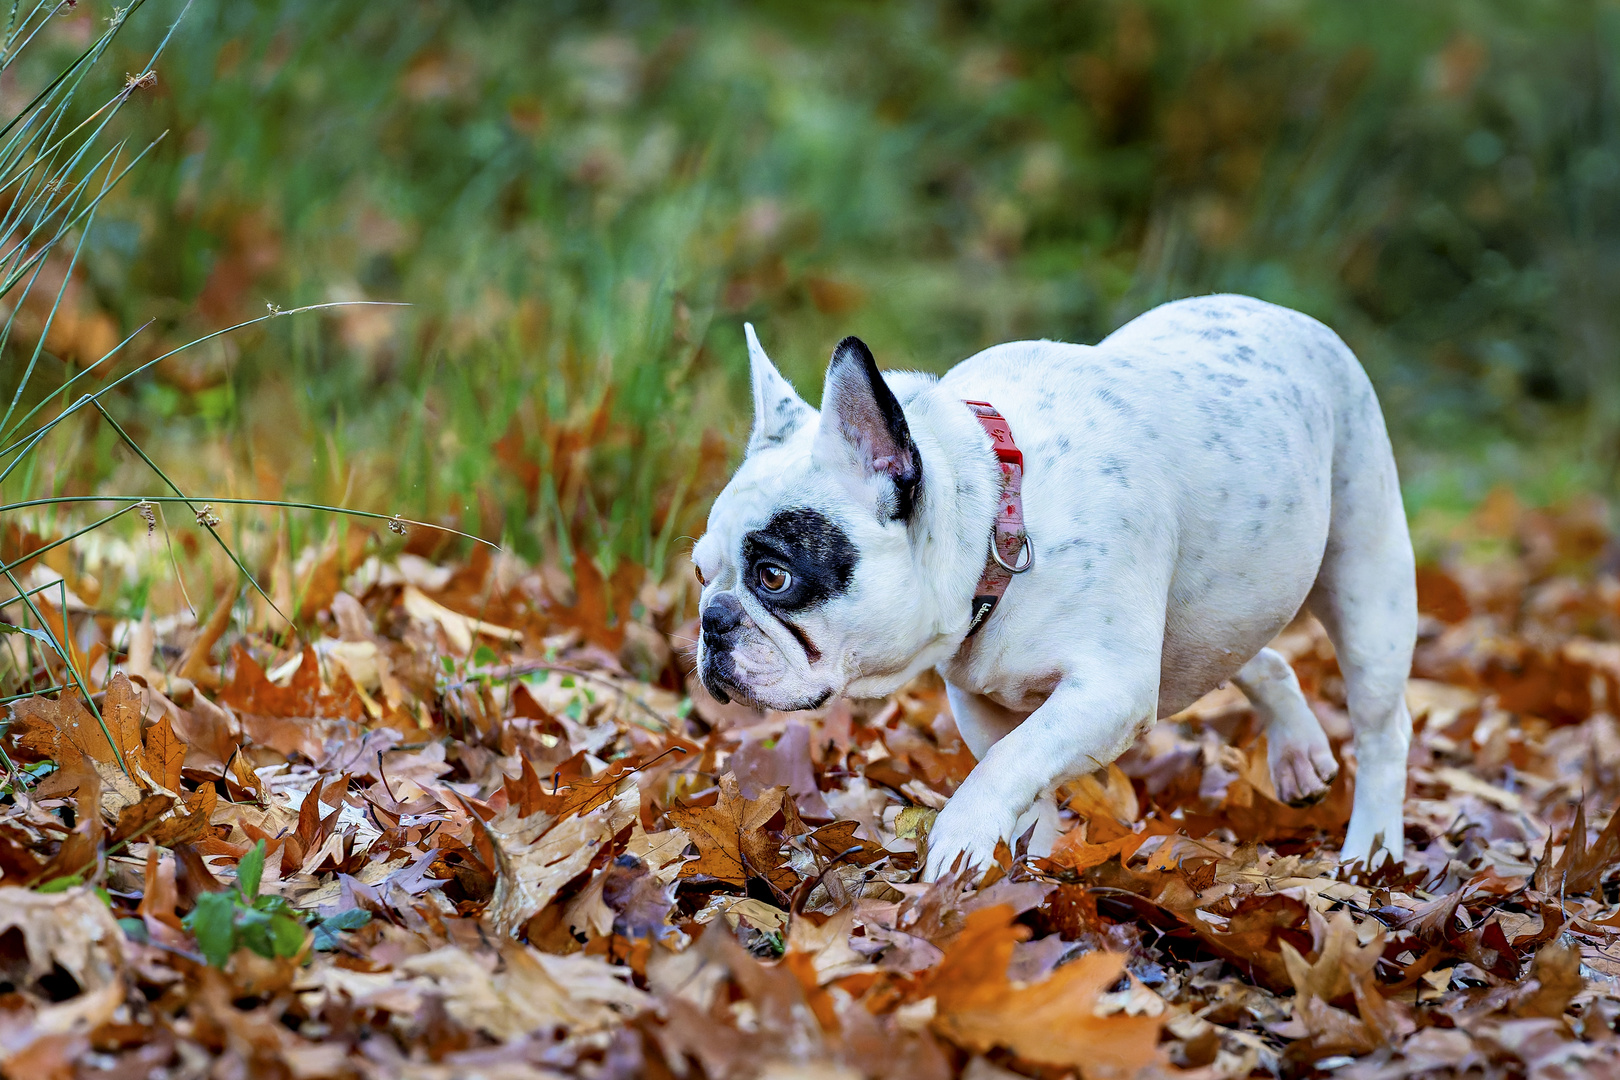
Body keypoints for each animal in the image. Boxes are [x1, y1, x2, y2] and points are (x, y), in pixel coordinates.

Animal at [690, 293, 1412, 880]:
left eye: (775, 577)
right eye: (701, 573)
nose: (712, 621)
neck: (998, 515)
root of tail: (1286, 315)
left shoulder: (1109, 690)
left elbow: (1008, 762)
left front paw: (962, 842)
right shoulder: (978, 698)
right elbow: (1020, 771)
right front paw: (1026, 864)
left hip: (1367, 583)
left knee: (1382, 728)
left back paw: (1371, 853)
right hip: (1214, 614)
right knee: (1254, 655)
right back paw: (1300, 751)